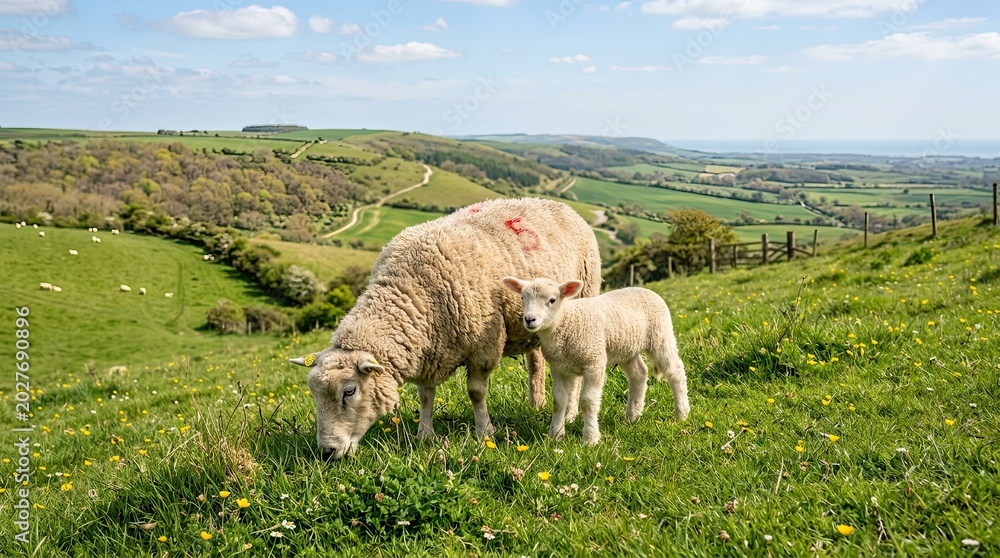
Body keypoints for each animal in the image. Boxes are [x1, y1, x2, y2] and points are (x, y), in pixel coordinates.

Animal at [289, 198, 601, 459]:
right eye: (314, 393)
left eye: (349, 391)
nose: (327, 452)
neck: (411, 290)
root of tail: (558, 204)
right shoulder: (428, 348)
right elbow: (426, 396)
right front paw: (424, 435)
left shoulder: (484, 345)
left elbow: (476, 392)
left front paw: (484, 431)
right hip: (529, 327)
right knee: (536, 363)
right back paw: (536, 403)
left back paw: (569, 414)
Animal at [502, 277, 690, 445]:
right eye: (522, 298)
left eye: (552, 300)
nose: (529, 319)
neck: (566, 322)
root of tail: (645, 289)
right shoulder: (559, 367)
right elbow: (559, 402)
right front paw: (555, 435)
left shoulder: (594, 362)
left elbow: (588, 402)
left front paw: (590, 439)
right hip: (626, 348)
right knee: (639, 374)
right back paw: (632, 416)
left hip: (660, 337)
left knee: (675, 372)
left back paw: (682, 413)